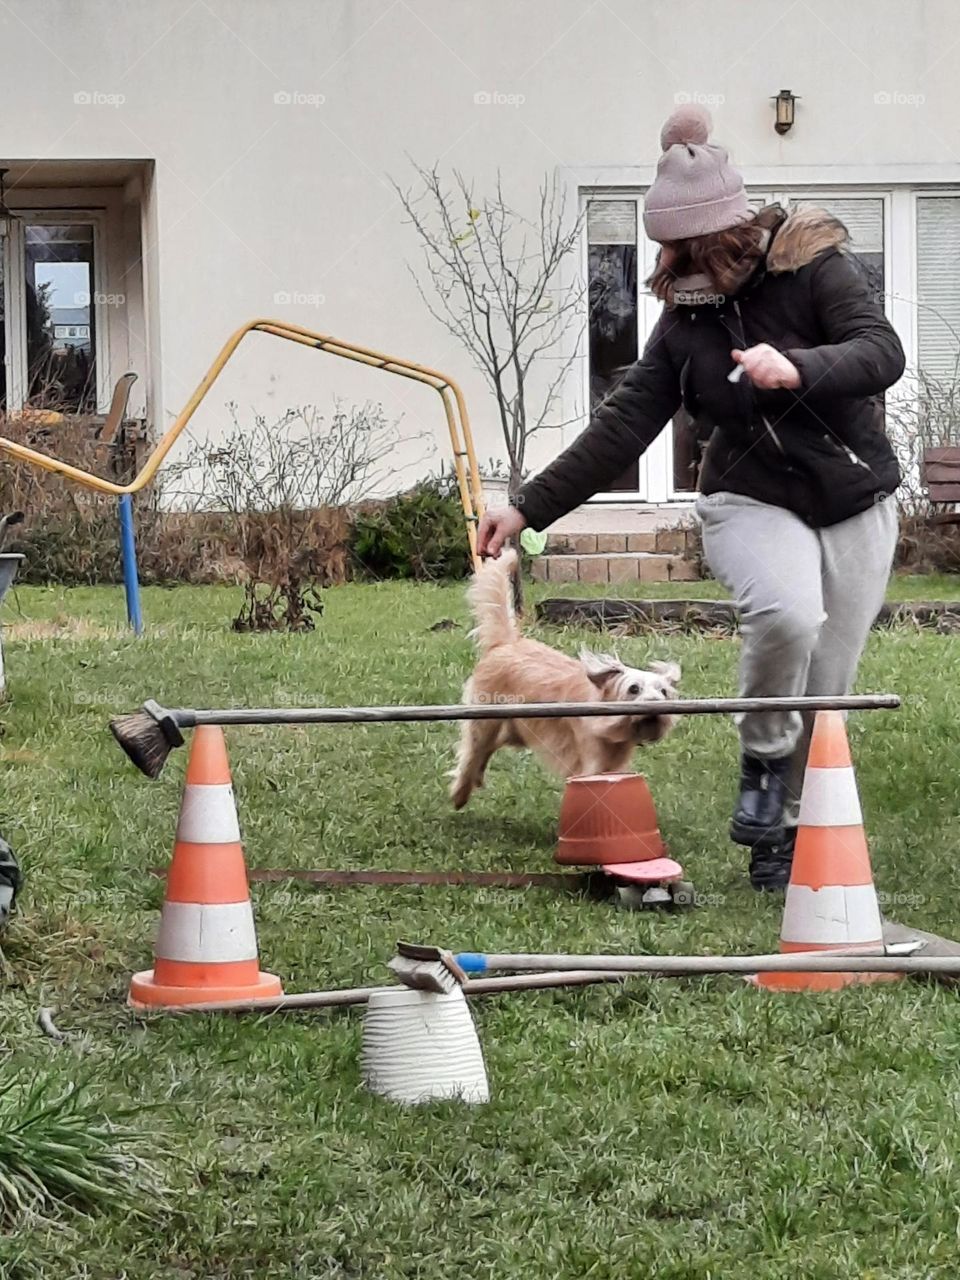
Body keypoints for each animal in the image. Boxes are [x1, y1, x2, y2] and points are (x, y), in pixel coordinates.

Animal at [453, 552, 686, 808]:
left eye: (663, 692)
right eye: (633, 689)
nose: (656, 706)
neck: (612, 728)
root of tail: (505, 644)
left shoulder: (615, 763)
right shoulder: (590, 761)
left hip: (513, 730)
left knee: (486, 750)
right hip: (484, 722)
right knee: (472, 752)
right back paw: (461, 792)